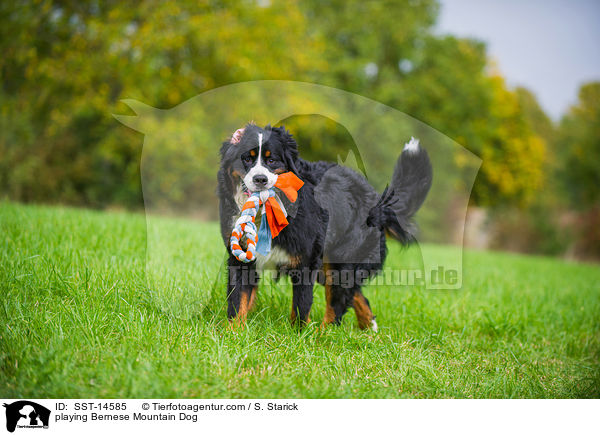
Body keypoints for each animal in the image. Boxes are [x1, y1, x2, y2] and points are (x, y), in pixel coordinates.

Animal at [218, 123, 434, 330]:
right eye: (247, 159)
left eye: (272, 161)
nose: (260, 179)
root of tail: (375, 201)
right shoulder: (241, 258)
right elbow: (238, 301)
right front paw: (234, 333)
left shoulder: (305, 262)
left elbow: (301, 305)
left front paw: (298, 335)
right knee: (356, 296)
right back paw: (369, 328)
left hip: (341, 262)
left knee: (337, 305)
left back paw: (323, 334)